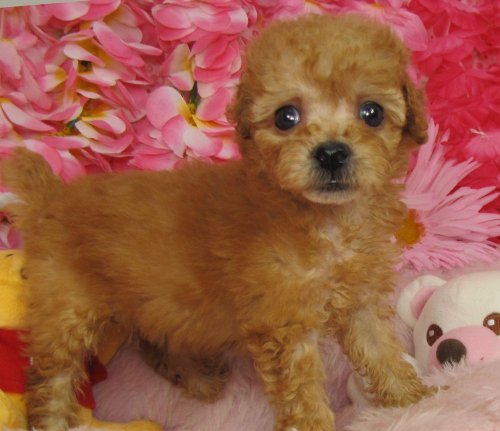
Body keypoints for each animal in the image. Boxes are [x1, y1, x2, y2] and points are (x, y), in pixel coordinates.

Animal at [1, 13, 433, 431]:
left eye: (372, 113)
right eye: (286, 117)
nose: (331, 153)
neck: (327, 221)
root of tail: (53, 196)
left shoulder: (360, 299)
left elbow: (379, 350)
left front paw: (412, 399)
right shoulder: (284, 322)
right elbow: (302, 387)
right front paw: (312, 423)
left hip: (152, 302)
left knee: (152, 341)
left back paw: (196, 378)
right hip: (68, 309)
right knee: (52, 377)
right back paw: (53, 420)